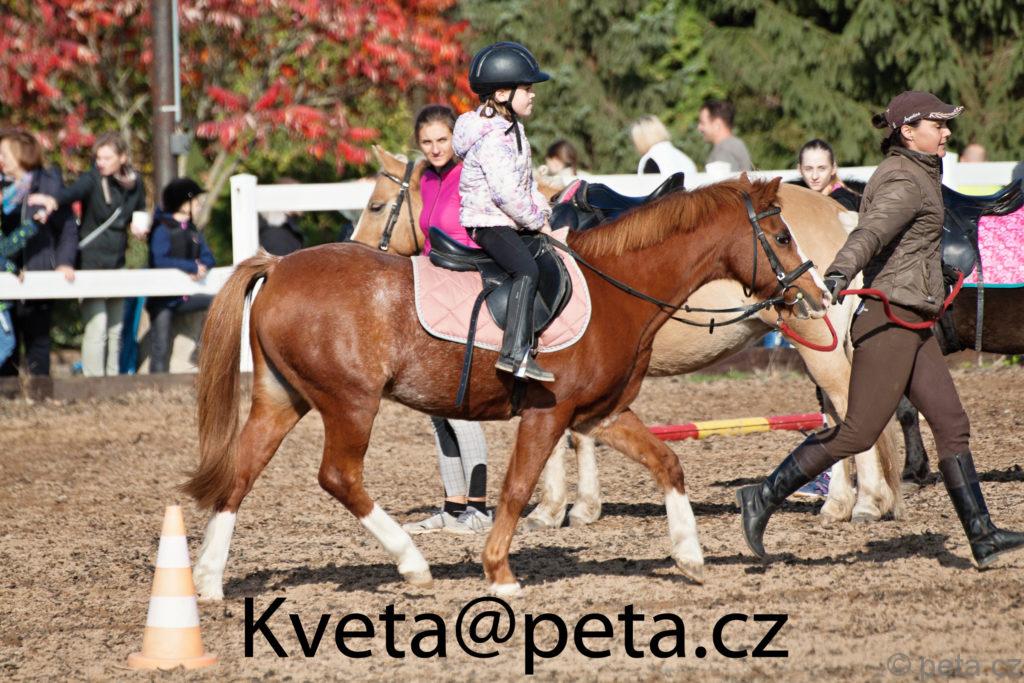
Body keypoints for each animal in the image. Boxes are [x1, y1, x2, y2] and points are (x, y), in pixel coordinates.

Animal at [184, 171, 826, 599]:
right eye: (783, 237)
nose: (816, 293)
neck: (618, 289)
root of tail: (279, 266)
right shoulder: (549, 414)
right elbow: (517, 488)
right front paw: (499, 573)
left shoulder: (601, 414)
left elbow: (668, 462)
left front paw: (690, 555)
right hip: (350, 404)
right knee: (339, 477)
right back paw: (412, 565)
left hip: (281, 400)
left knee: (240, 473)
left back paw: (209, 581)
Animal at [351, 147, 905, 526]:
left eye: (376, 206)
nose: (356, 250)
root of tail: (844, 214)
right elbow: (576, 434)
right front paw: (575, 506)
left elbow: (566, 437)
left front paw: (557, 509)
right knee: (835, 414)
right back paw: (842, 502)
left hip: (816, 343)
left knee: (848, 407)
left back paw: (867, 503)